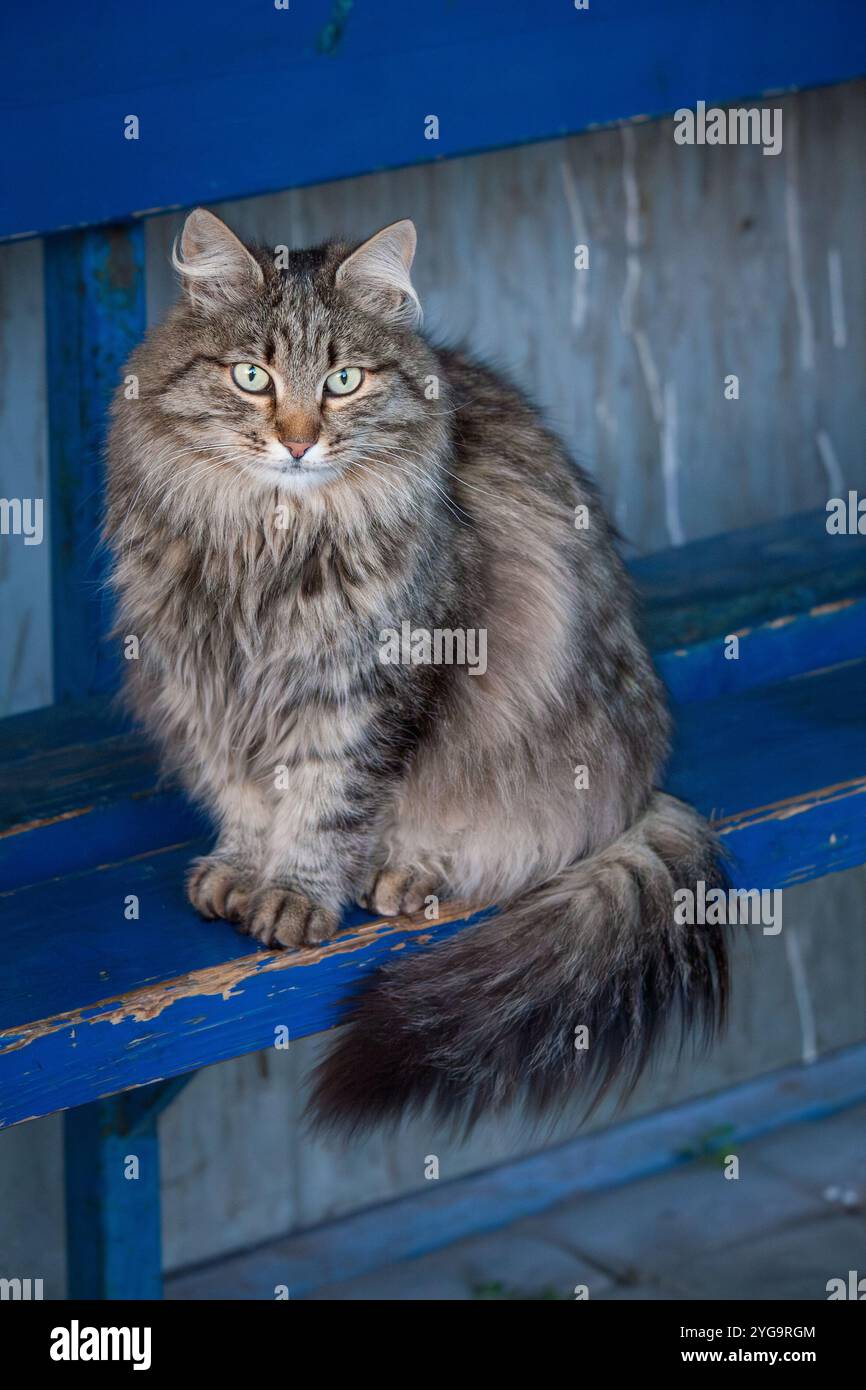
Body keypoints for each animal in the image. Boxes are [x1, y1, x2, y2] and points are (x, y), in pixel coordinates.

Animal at [108, 211, 733, 1134]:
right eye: (252, 376)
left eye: (343, 381)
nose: (299, 441)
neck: (269, 539)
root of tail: (646, 788)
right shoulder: (204, 683)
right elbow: (245, 795)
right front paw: (244, 867)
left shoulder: (371, 687)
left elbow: (327, 804)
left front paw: (294, 892)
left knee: (526, 842)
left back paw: (407, 873)